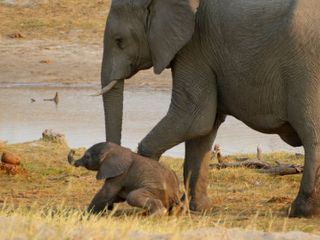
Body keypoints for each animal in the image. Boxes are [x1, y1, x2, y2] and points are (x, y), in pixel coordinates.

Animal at [97, 0, 320, 218]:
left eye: (120, 41)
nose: (110, 209)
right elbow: (203, 128)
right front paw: (194, 209)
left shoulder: (194, 47)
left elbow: (193, 118)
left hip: (305, 67)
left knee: (311, 134)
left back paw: (300, 211)